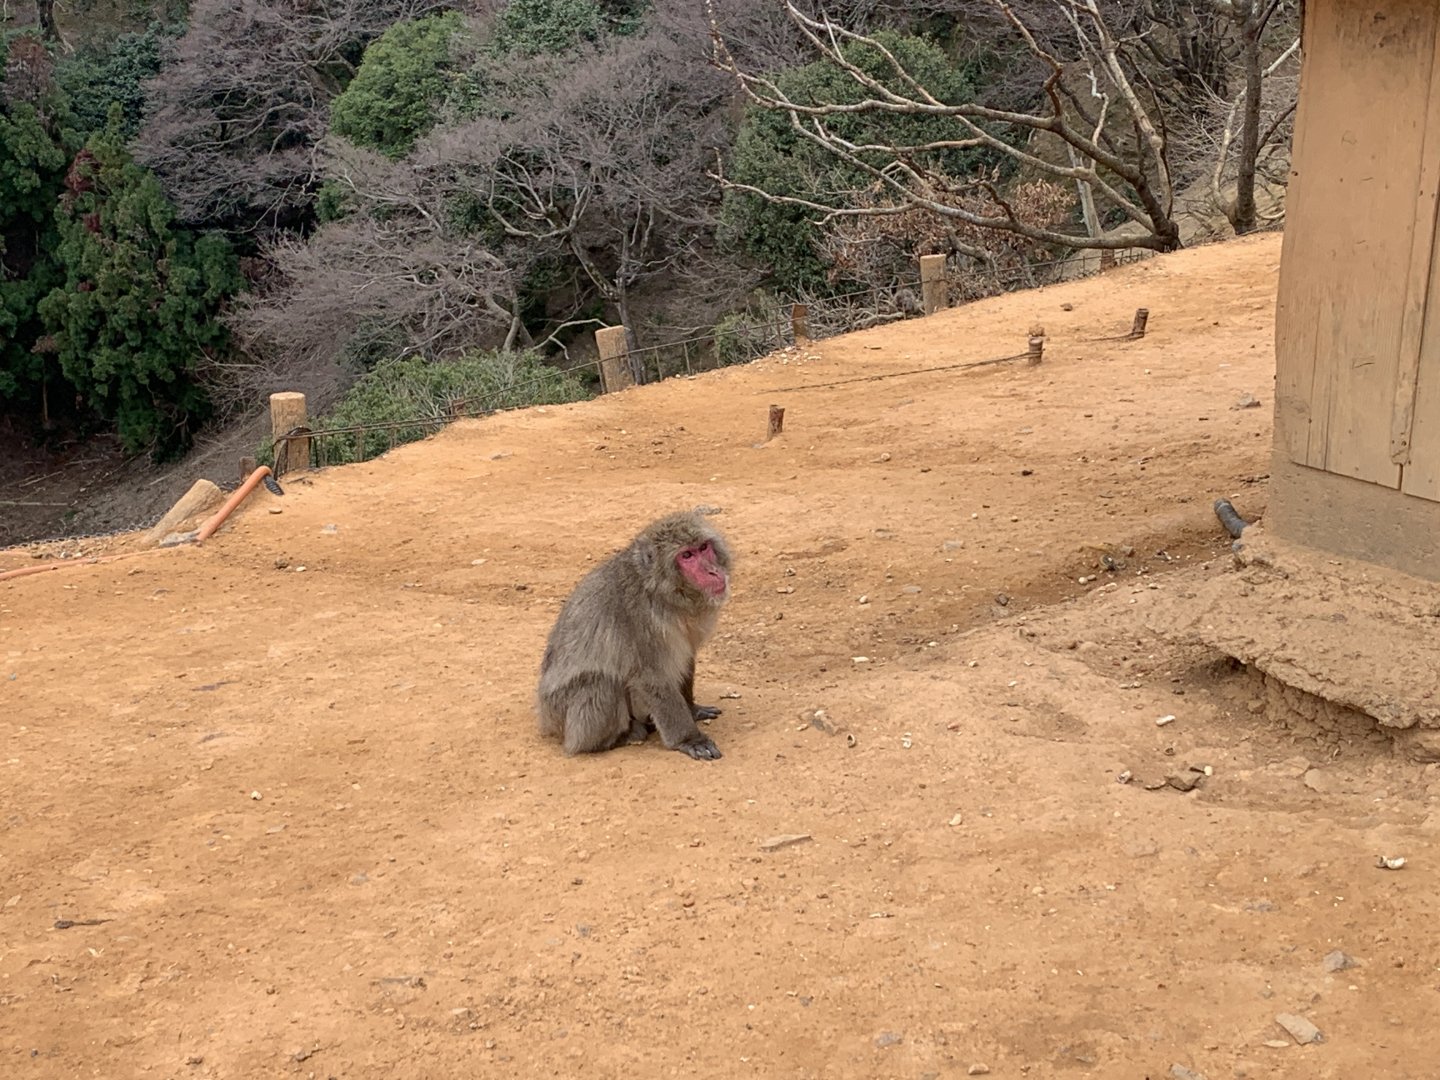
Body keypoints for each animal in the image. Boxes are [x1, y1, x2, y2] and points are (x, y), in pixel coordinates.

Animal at [536, 511, 733, 761]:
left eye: (703, 547)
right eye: (687, 555)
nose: (712, 571)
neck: (660, 592)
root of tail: (545, 719)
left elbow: (686, 659)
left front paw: (692, 709)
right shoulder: (641, 620)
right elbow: (651, 677)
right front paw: (689, 739)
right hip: (561, 714)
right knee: (600, 682)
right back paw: (616, 738)